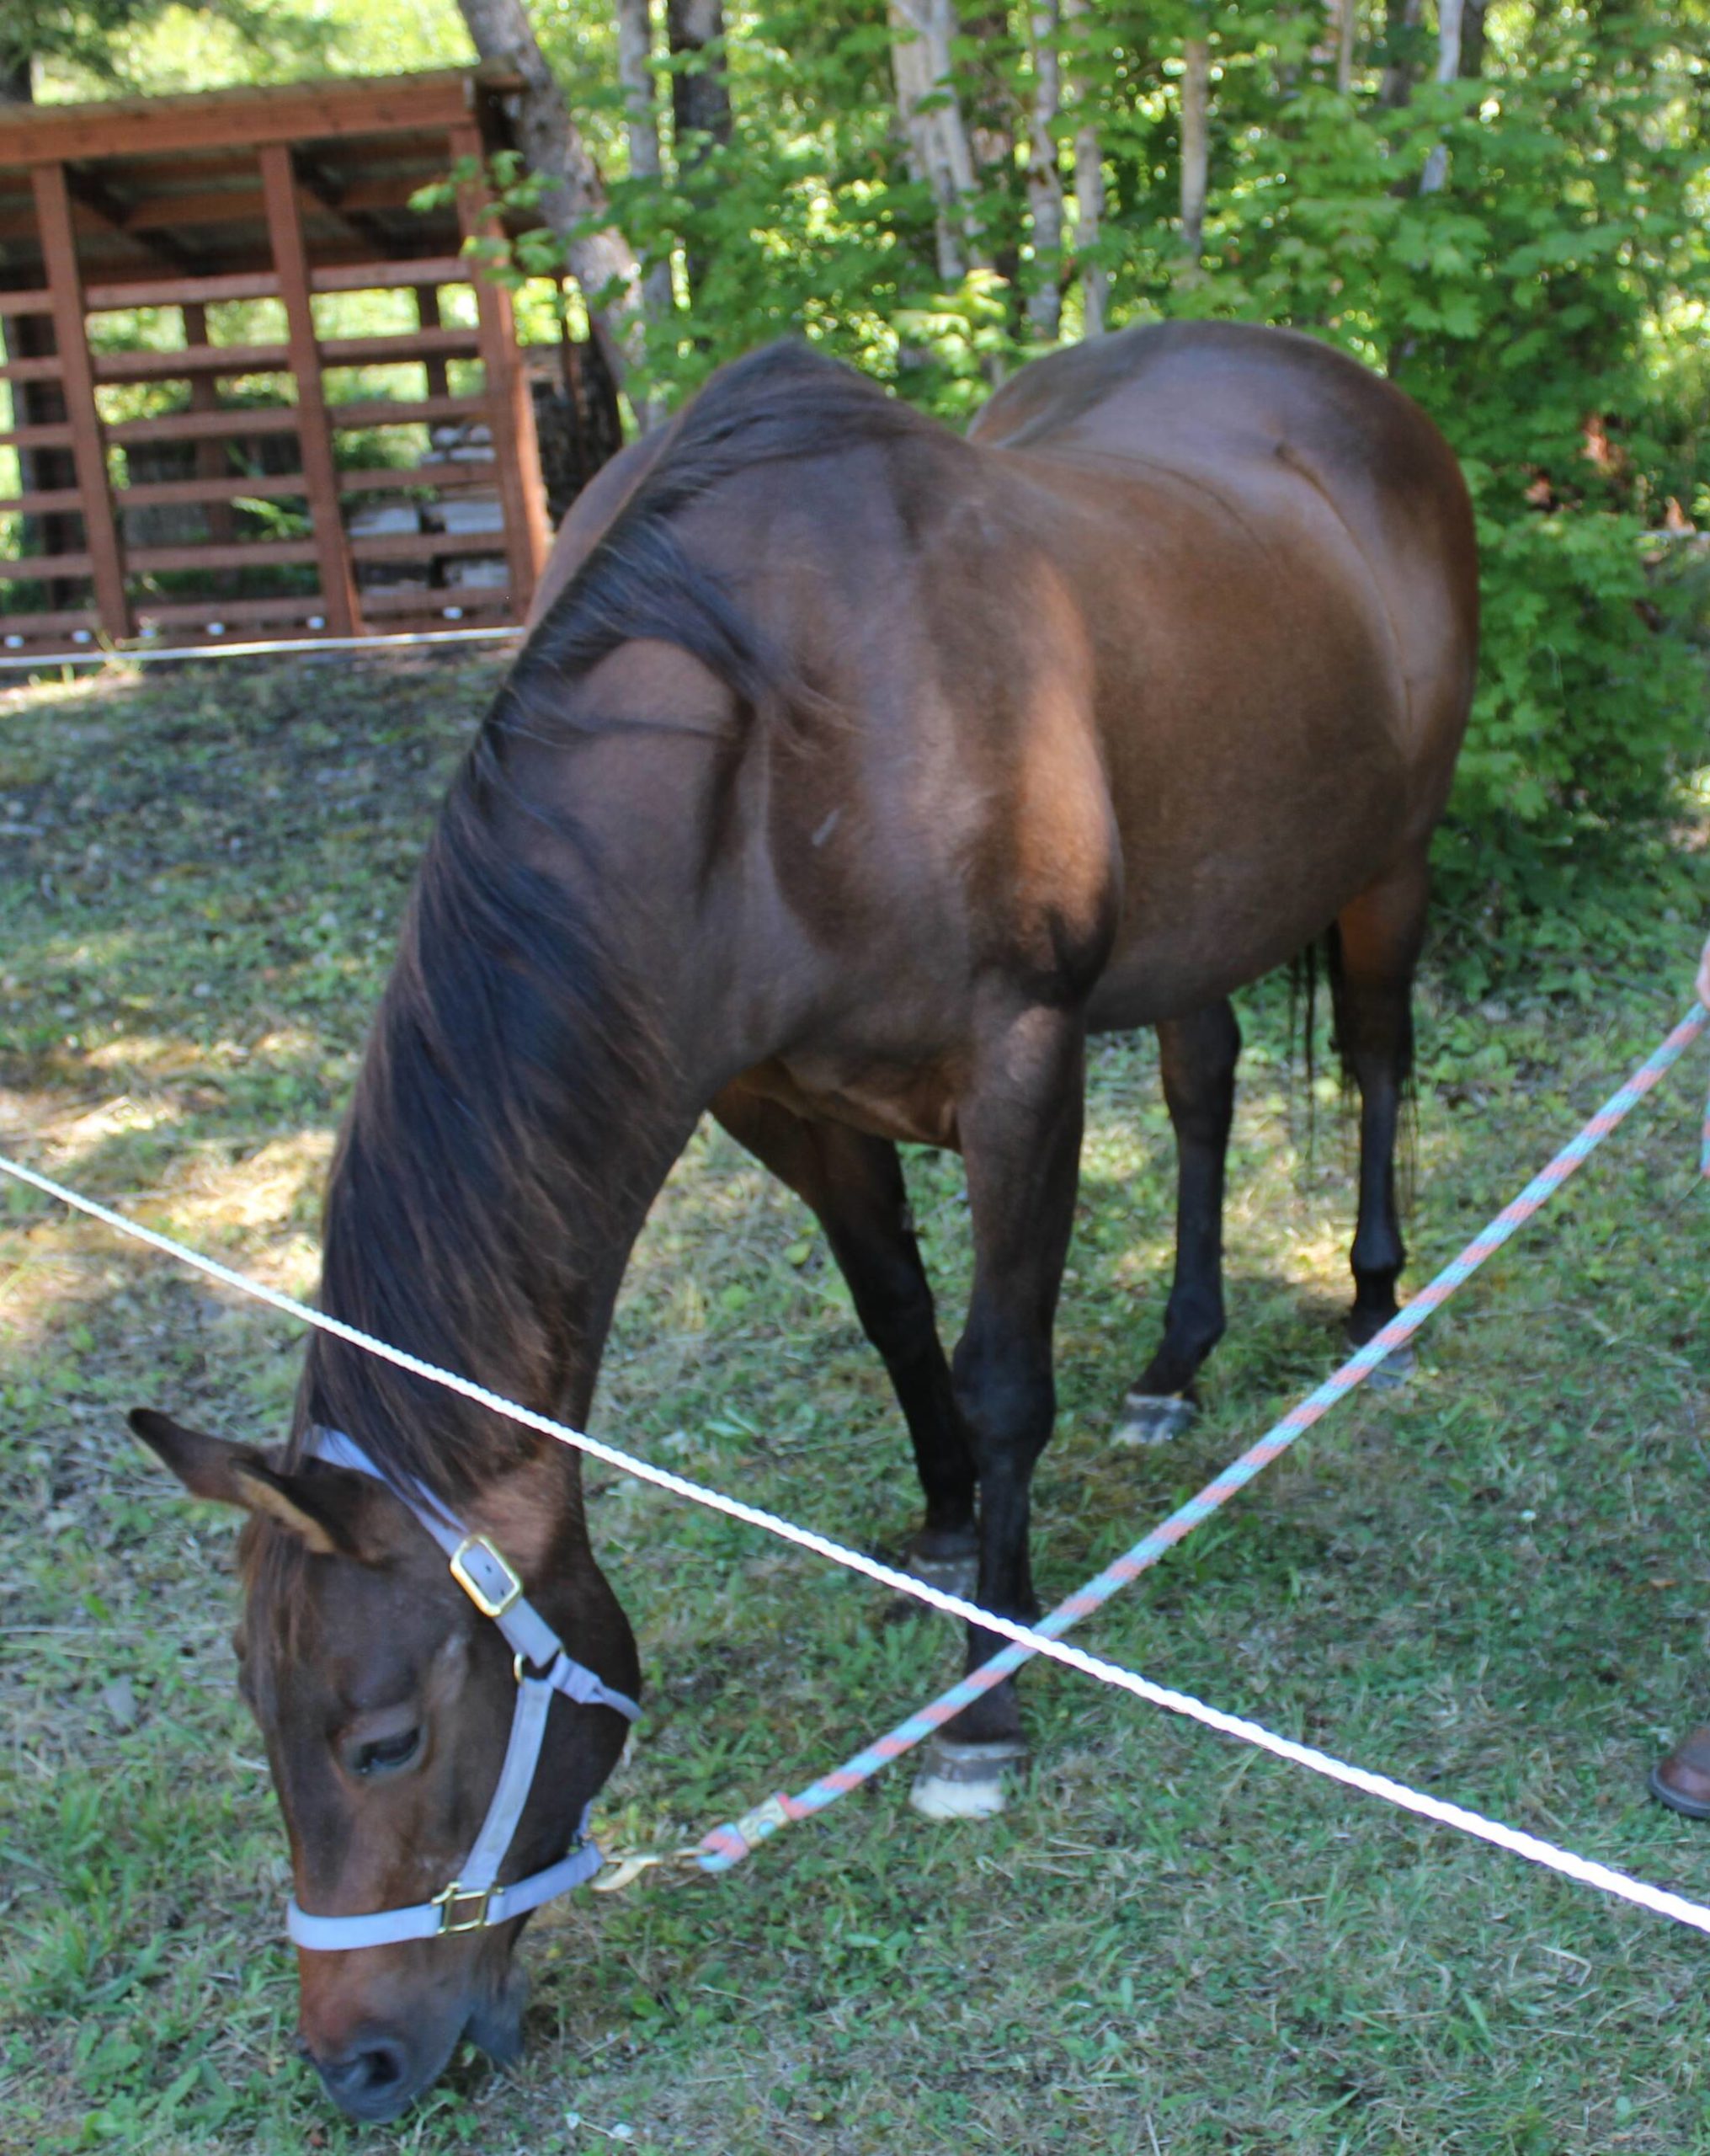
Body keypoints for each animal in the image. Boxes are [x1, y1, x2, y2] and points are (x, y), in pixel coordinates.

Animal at [133, 323, 1474, 2121]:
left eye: (383, 1741)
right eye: (259, 1726)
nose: (355, 2068)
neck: (775, 750)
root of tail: (1345, 387)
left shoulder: (1019, 1065)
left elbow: (1002, 1374)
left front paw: (985, 1699)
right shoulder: (779, 1102)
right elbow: (897, 1320)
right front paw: (945, 1533)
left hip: (1387, 863)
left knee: (1382, 1058)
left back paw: (1377, 1309)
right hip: (1206, 915)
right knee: (1205, 1086)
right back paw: (1176, 1360)